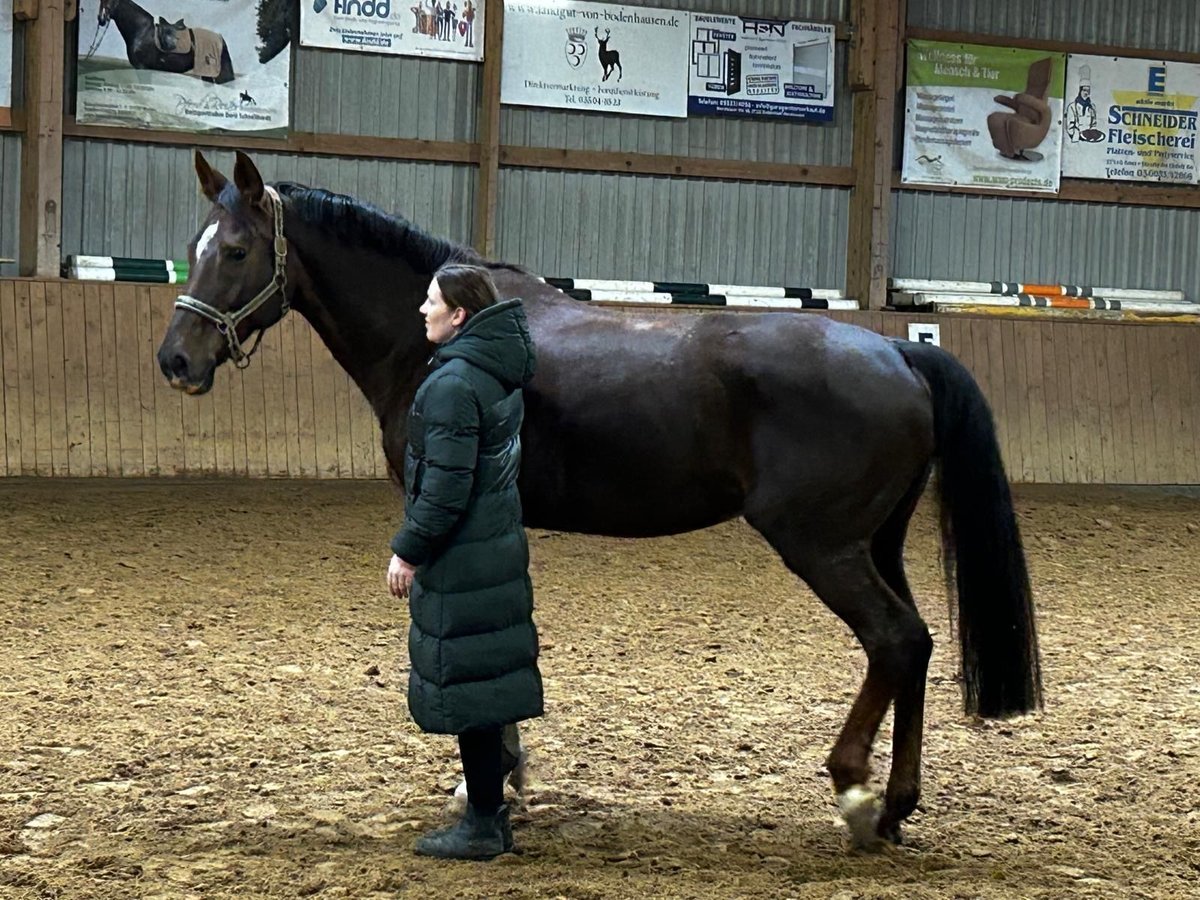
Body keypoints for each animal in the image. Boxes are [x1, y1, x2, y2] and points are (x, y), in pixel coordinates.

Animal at [156, 150, 1043, 850]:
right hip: (876, 543)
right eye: (194, 249)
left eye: (235, 250)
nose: (176, 360)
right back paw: (896, 806)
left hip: (821, 545)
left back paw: (855, 791)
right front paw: (505, 775)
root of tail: (897, 350)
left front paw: (486, 779)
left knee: (894, 640)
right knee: (918, 645)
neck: (442, 339)